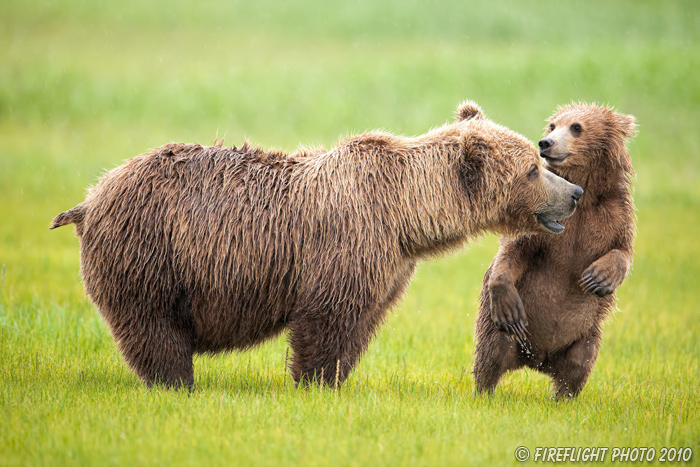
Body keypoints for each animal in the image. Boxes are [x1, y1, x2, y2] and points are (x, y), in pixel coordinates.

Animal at [52, 102, 584, 392]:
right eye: (532, 169)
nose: (575, 193)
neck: (405, 215)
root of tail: (91, 197)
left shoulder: (389, 264)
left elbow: (361, 322)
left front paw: (336, 378)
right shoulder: (346, 241)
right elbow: (326, 320)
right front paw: (314, 381)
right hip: (152, 251)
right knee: (154, 328)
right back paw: (177, 382)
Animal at [474, 102, 636, 398]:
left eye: (577, 127)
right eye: (552, 125)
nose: (546, 142)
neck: (585, 197)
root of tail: (538, 360)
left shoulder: (613, 216)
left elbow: (622, 250)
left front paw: (598, 278)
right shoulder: (541, 218)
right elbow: (514, 252)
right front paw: (506, 298)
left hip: (585, 334)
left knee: (578, 365)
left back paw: (563, 398)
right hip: (499, 330)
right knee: (491, 354)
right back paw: (484, 392)